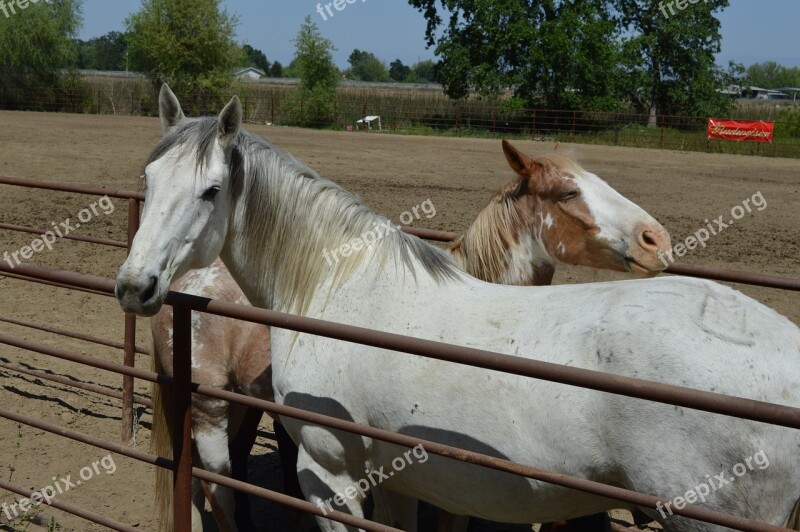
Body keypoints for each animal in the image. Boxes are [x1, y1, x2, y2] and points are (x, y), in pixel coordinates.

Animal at [114, 85, 800, 528]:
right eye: (147, 182)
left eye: (211, 190)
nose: (134, 285)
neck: (338, 285)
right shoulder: (398, 479)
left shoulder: (330, 478)